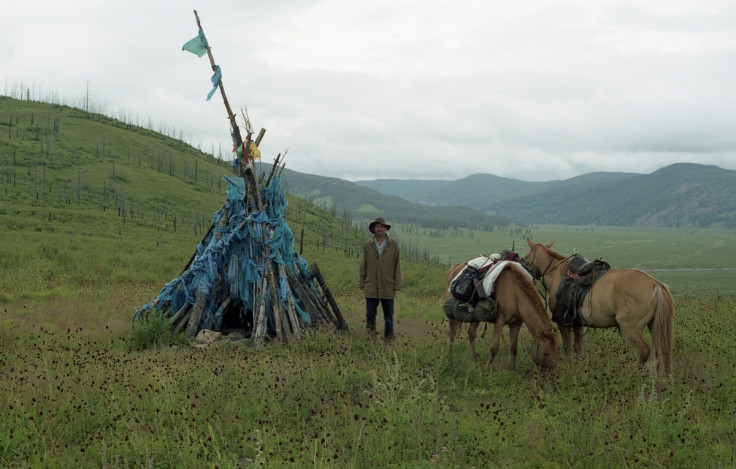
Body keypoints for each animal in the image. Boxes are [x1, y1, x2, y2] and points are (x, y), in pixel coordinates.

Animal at [524, 238, 672, 376]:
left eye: (526, 257)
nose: (526, 267)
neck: (557, 274)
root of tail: (656, 285)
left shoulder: (563, 322)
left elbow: (567, 347)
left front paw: (569, 370)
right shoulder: (577, 323)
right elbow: (578, 348)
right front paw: (580, 369)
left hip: (631, 328)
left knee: (644, 351)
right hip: (654, 326)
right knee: (658, 353)